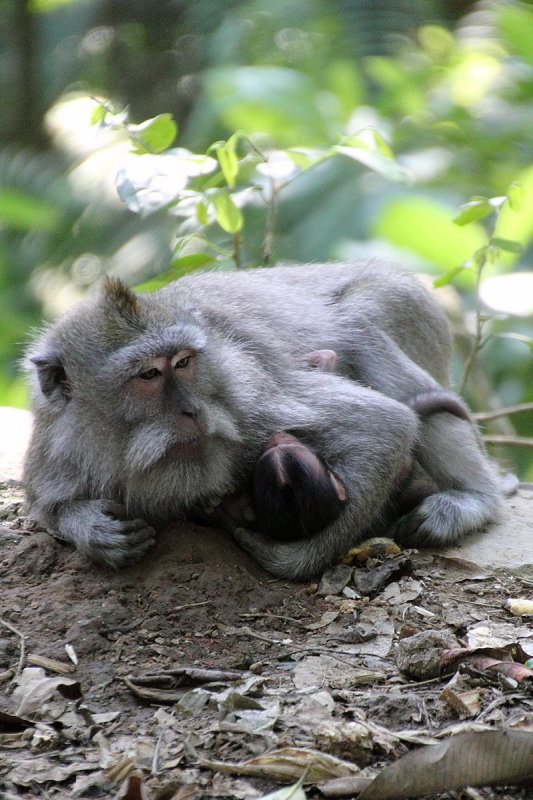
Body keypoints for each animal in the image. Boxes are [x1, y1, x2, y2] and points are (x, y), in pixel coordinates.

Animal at [22, 260, 500, 580]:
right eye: (149, 375)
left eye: (183, 362)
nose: (192, 410)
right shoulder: (56, 441)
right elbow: (45, 504)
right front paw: (95, 531)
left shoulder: (245, 398)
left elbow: (385, 425)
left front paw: (290, 559)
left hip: (408, 308)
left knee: (363, 327)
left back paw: (472, 499)